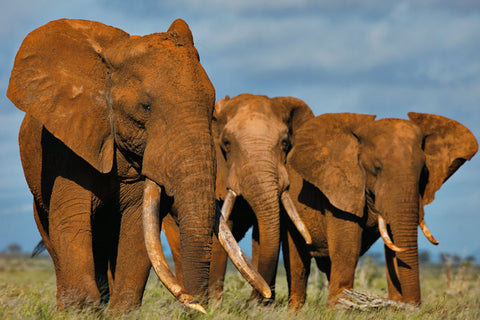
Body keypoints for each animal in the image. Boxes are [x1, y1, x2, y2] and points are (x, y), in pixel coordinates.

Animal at [6, 18, 266, 312]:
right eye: (145, 107)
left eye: (212, 109)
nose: (199, 307)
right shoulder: (67, 145)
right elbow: (72, 220)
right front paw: (79, 309)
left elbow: (137, 226)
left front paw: (119, 312)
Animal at [163, 93, 316, 302]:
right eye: (226, 143)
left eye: (285, 143)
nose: (258, 297)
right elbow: (222, 233)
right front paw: (216, 305)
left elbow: (262, 233)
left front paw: (259, 306)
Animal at [284, 112, 478, 308]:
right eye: (376, 169)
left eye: (424, 172)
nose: (413, 308)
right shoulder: (339, 189)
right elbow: (347, 249)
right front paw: (338, 310)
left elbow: (394, 249)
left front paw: (396, 309)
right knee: (298, 263)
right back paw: (297, 310)